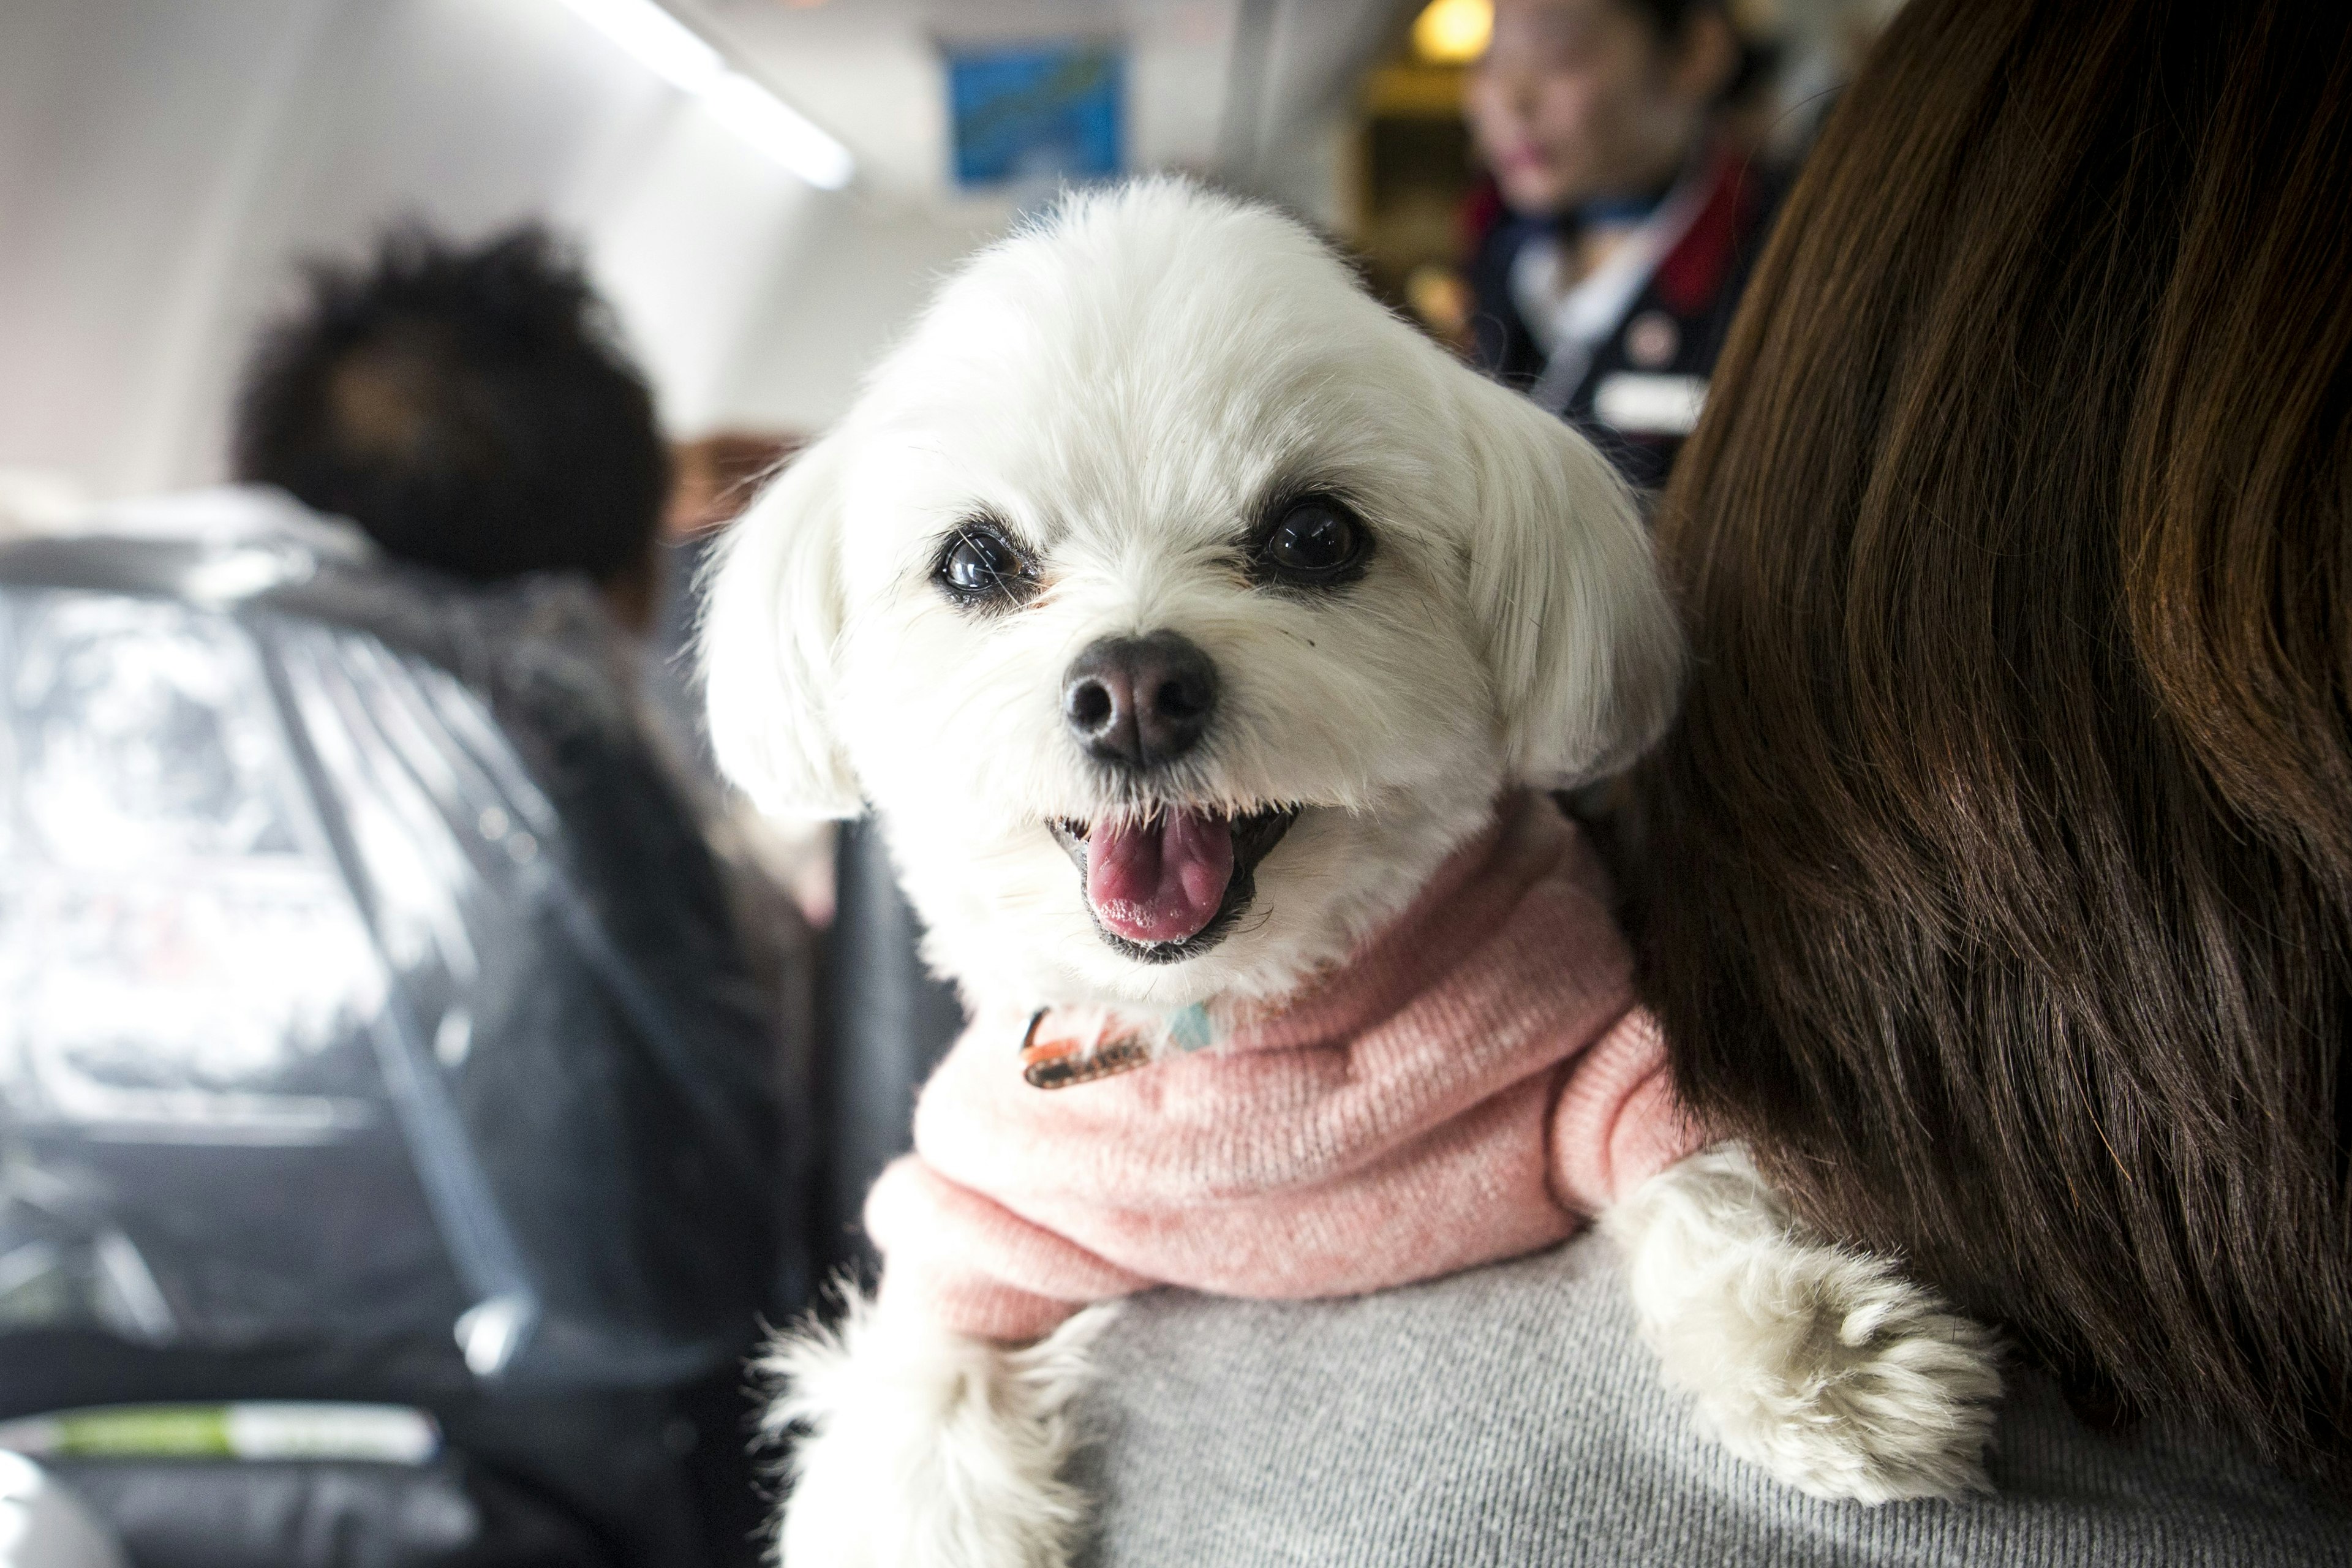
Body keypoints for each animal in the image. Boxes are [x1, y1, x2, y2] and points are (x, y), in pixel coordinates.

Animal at [701, 184, 2003, 1568]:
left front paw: (1818, 1355)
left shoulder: (1595, 1051)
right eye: (976, 562)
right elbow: (928, 1360)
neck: (1238, 1027)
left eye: (1316, 535)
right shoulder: (978, 1209)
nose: (1135, 689)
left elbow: (1690, 1170)